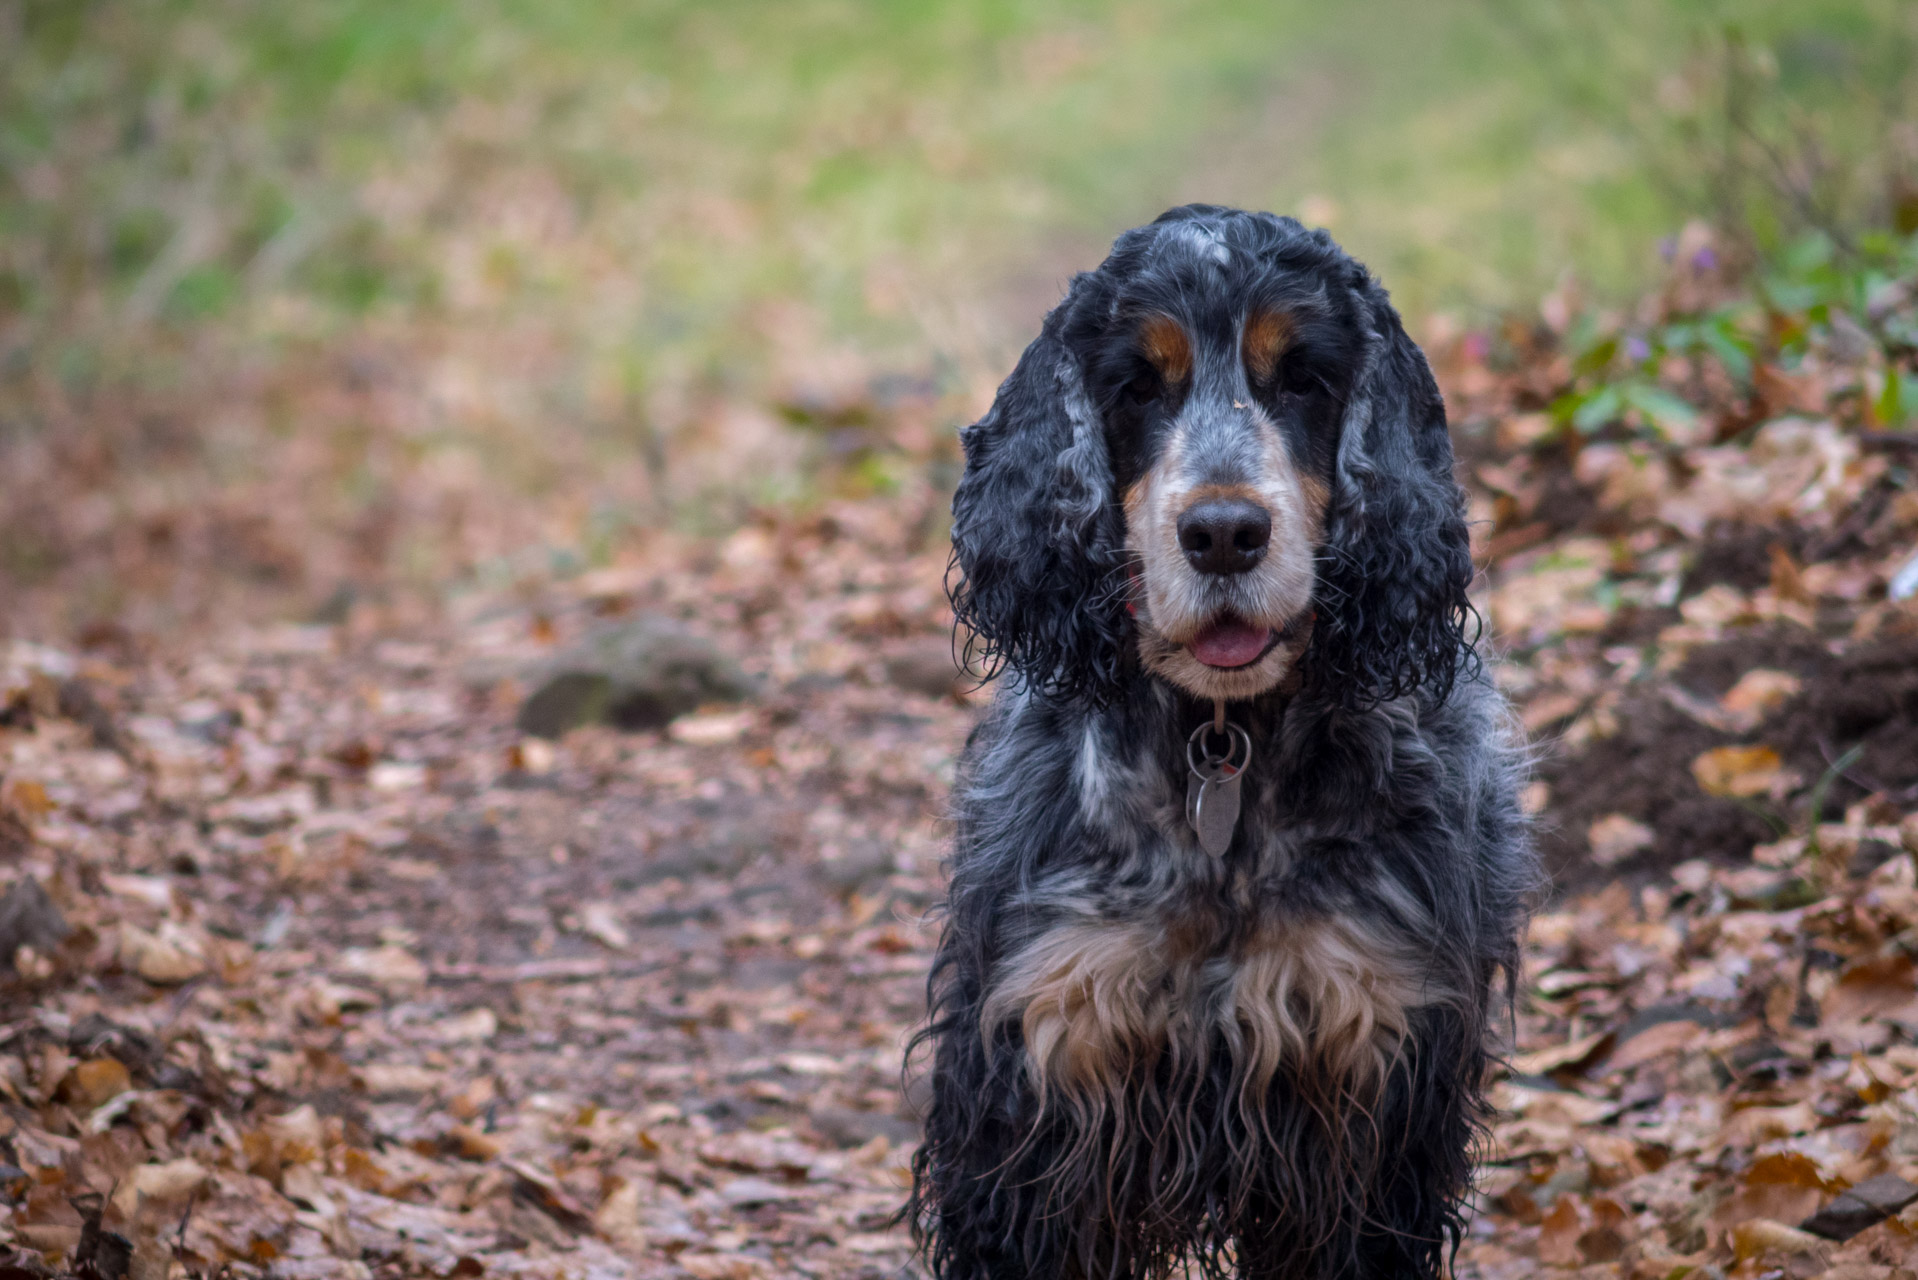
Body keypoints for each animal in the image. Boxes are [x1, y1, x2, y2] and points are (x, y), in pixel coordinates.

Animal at [905, 205, 1534, 1274]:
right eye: (1136, 386)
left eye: (1304, 379)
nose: (1226, 534)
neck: (1222, 745)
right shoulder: (1040, 1068)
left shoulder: (1369, 1083)